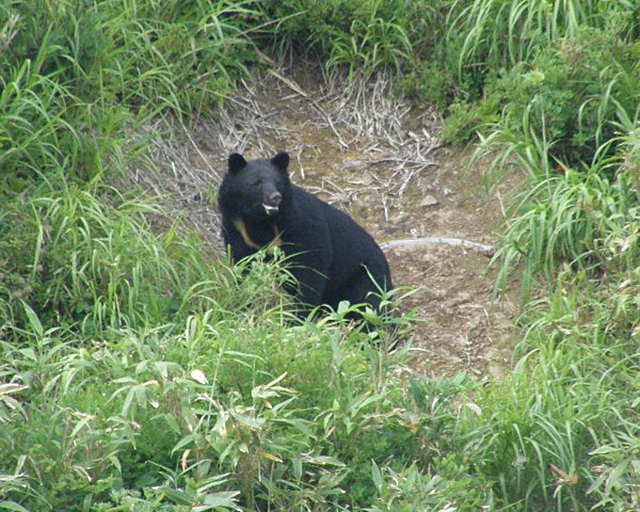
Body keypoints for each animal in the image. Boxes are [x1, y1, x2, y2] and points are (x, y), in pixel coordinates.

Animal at [218, 151, 392, 316]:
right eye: (256, 183)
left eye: (278, 182)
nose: (275, 197)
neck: (260, 221)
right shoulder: (237, 229)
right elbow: (241, 266)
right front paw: (239, 303)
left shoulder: (303, 226)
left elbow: (313, 269)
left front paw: (298, 317)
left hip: (366, 276)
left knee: (370, 303)